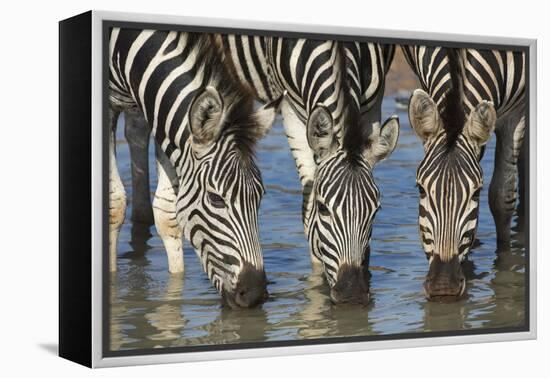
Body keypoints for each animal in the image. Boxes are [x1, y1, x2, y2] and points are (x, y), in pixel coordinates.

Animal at [108, 28, 282, 308]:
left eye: (260, 196)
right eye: (215, 199)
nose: (255, 294)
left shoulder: (158, 111)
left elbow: (168, 212)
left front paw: (175, 291)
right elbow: (114, 204)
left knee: (135, 131)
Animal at [220, 35, 402, 304]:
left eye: (376, 211)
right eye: (323, 208)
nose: (352, 294)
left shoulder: (373, 105)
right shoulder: (290, 110)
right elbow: (308, 212)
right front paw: (317, 288)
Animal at [404, 45, 528, 298]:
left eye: (476, 192)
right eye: (421, 189)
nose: (443, 287)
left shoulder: (517, 111)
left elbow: (502, 197)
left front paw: (504, 269)